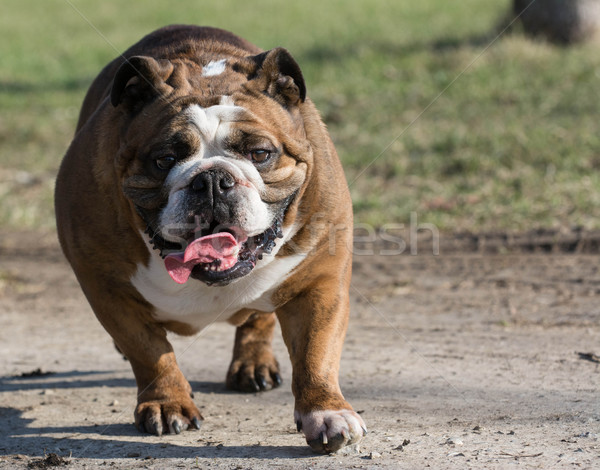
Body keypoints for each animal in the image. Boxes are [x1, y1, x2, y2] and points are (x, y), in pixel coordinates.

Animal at [55, 24, 366, 452]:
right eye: (165, 159)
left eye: (260, 153)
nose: (213, 180)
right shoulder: (107, 289)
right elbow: (149, 350)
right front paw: (167, 403)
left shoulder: (318, 284)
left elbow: (315, 353)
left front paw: (326, 412)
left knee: (259, 320)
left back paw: (253, 364)